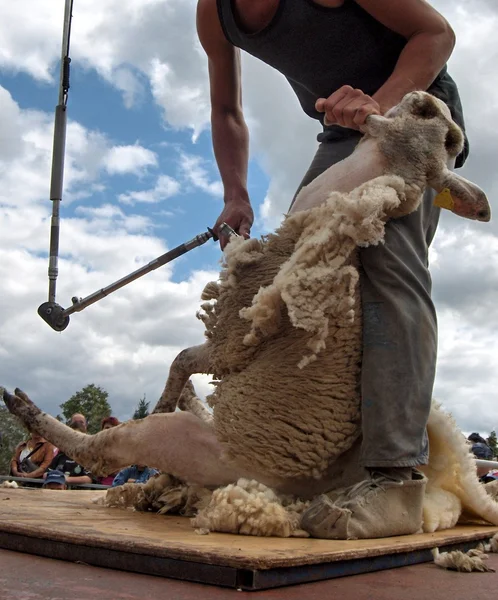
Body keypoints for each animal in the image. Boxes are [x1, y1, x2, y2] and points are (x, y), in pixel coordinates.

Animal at [2, 91, 494, 540]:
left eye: (433, 120)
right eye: (446, 134)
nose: (423, 96)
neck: (338, 202)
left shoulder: (234, 336)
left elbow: (181, 358)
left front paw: (164, 397)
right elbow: (182, 363)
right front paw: (175, 394)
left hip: (184, 444)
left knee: (104, 449)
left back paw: (27, 408)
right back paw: (187, 407)